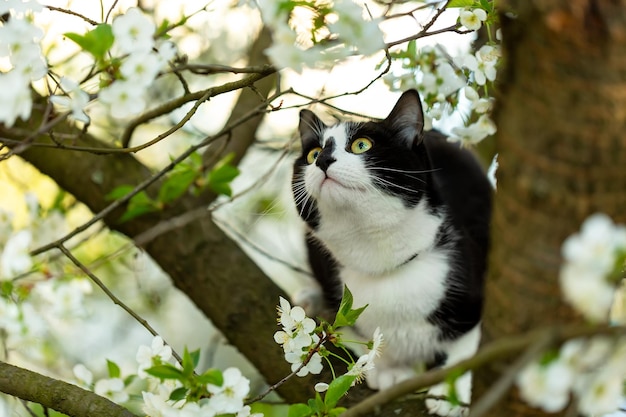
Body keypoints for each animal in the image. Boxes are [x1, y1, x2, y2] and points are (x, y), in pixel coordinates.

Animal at [290, 89, 490, 414]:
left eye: (361, 145)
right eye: (312, 153)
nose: (323, 159)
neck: (381, 260)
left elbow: (468, 348)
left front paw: (452, 395)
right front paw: (389, 370)